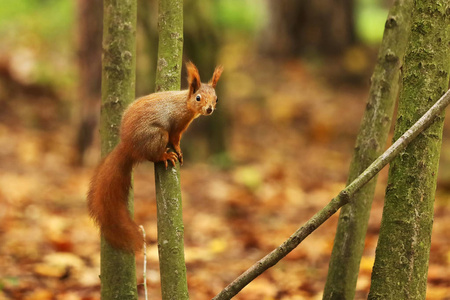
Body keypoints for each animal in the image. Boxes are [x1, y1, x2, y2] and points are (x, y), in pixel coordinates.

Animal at [87, 62, 222, 252]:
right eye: (198, 98)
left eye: (216, 99)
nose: (209, 109)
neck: (184, 105)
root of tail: (128, 146)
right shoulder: (176, 126)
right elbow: (175, 139)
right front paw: (178, 151)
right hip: (156, 135)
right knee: (153, 155)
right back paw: (164, 156)